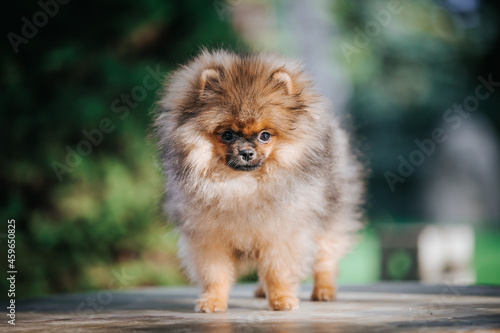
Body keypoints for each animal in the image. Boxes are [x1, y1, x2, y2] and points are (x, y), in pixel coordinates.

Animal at [153, 49, 364, 312]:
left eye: (265, 135)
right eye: (227, 135)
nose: (246, 152)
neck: (242, 185)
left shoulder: (280, 233)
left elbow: (277, 270)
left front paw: (282, 298)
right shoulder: (208, 238)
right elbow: (215, 274)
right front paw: (212, 300)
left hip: (330, 215)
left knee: (326, 258)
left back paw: (324, 290)